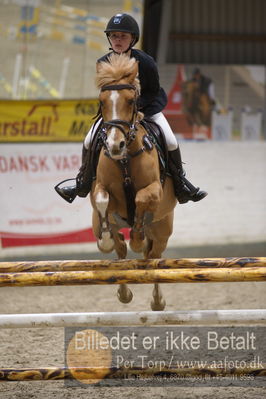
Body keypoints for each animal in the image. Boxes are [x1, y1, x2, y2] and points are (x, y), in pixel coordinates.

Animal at [90, 53, 177, 310]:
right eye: (102, 101)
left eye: (131, 101)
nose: (114, 145)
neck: (125, 160)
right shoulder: (99, 189)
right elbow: (102, 198)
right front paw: (106, 241)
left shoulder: (155, 190)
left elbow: (140, 198)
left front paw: (137, 239)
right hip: (98, 223)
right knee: (119, 250)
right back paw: (123, 291)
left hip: (162, 228)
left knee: (155, 257)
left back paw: (157, 301)